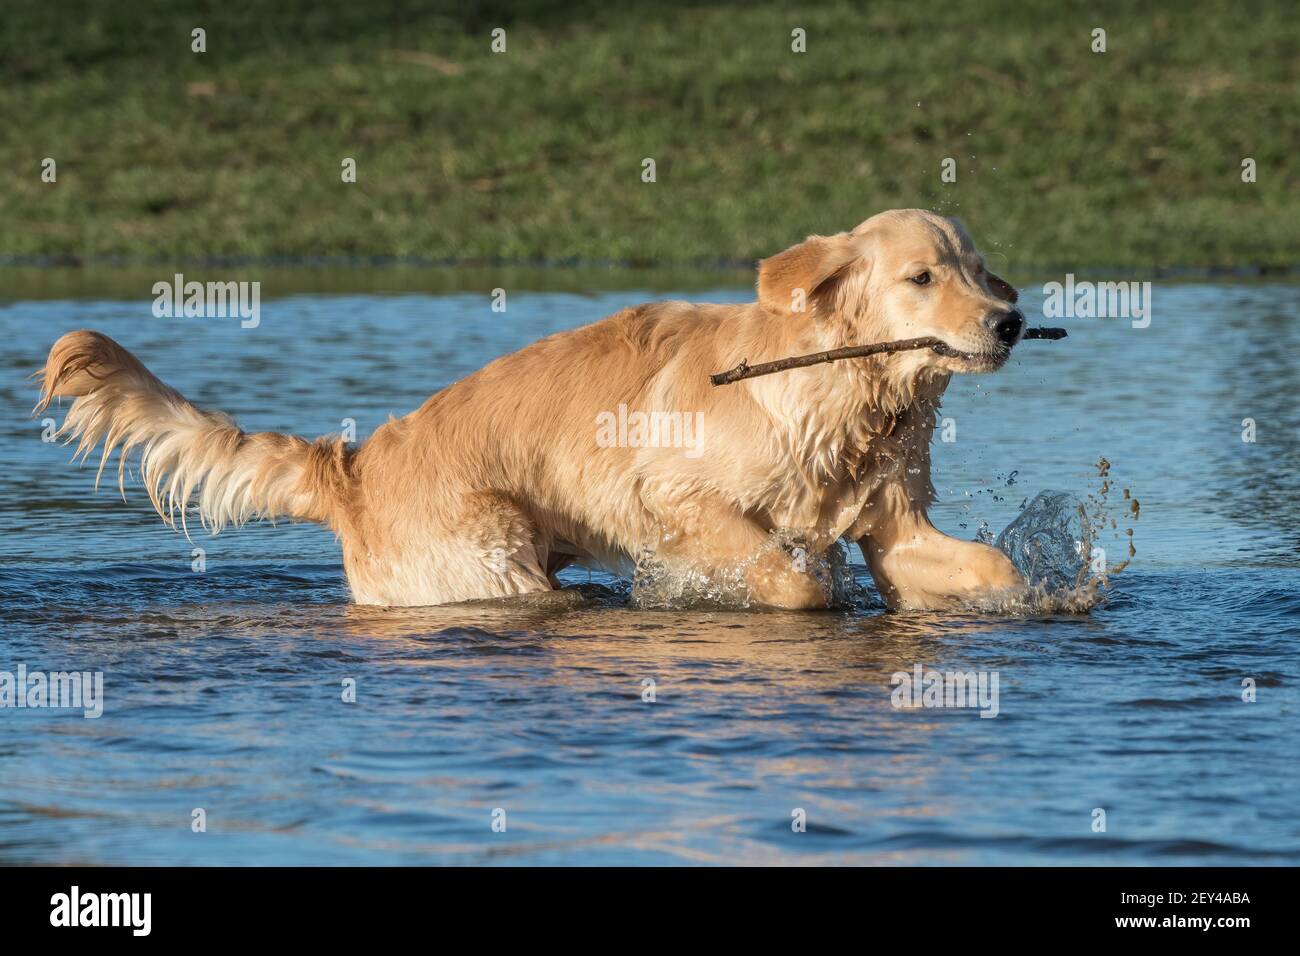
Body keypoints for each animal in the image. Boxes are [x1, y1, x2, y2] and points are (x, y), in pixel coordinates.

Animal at [35, 210, 1024, 613]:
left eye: (980, 270)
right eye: (921, 278)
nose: (1010, 321)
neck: (840, 393)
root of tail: (352, 468)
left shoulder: (894, 524)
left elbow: (989, 566)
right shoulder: (674, 498)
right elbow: (793, 578)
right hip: (492, 558)